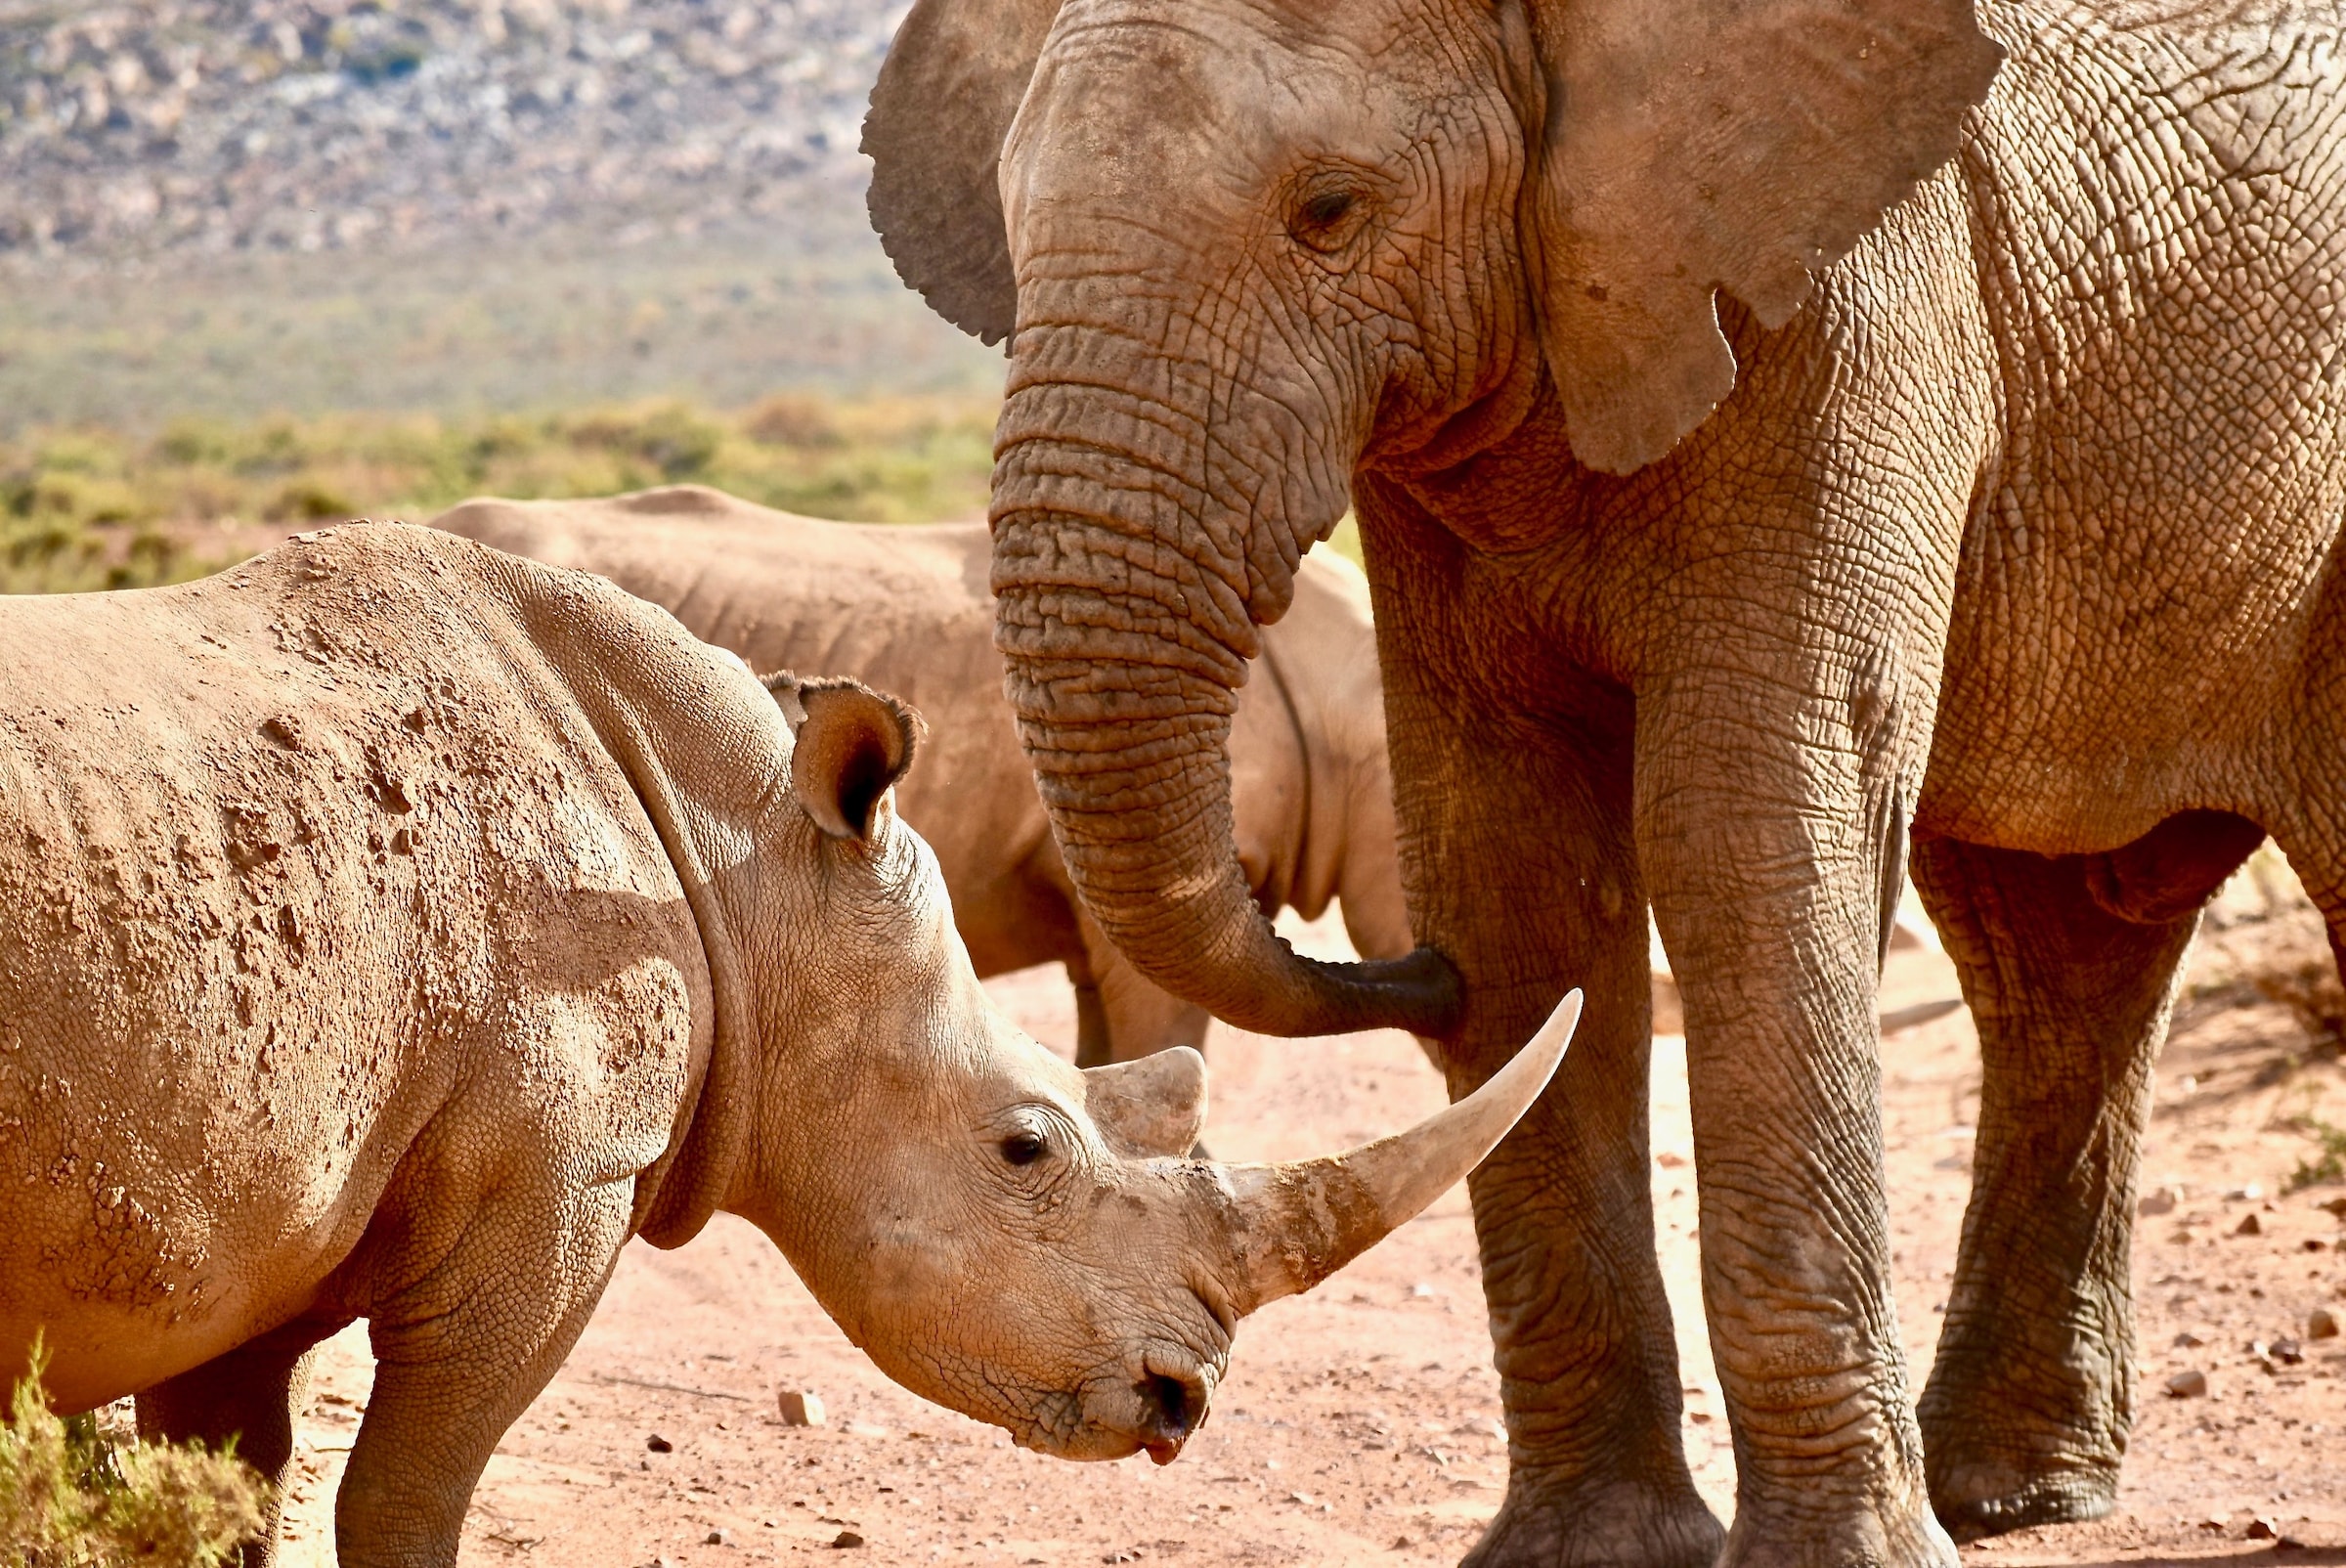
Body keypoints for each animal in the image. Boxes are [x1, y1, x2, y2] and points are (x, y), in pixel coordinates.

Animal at [863, 3, 2346, 1568]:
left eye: (1329, 212)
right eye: (1013, 229)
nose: (1416, 978)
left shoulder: (1855, 311)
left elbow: (1742, 835)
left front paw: (1842, 1558)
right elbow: (1511, 861)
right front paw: (1593, 1548)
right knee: (2054, 958)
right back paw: (2008, 1497)